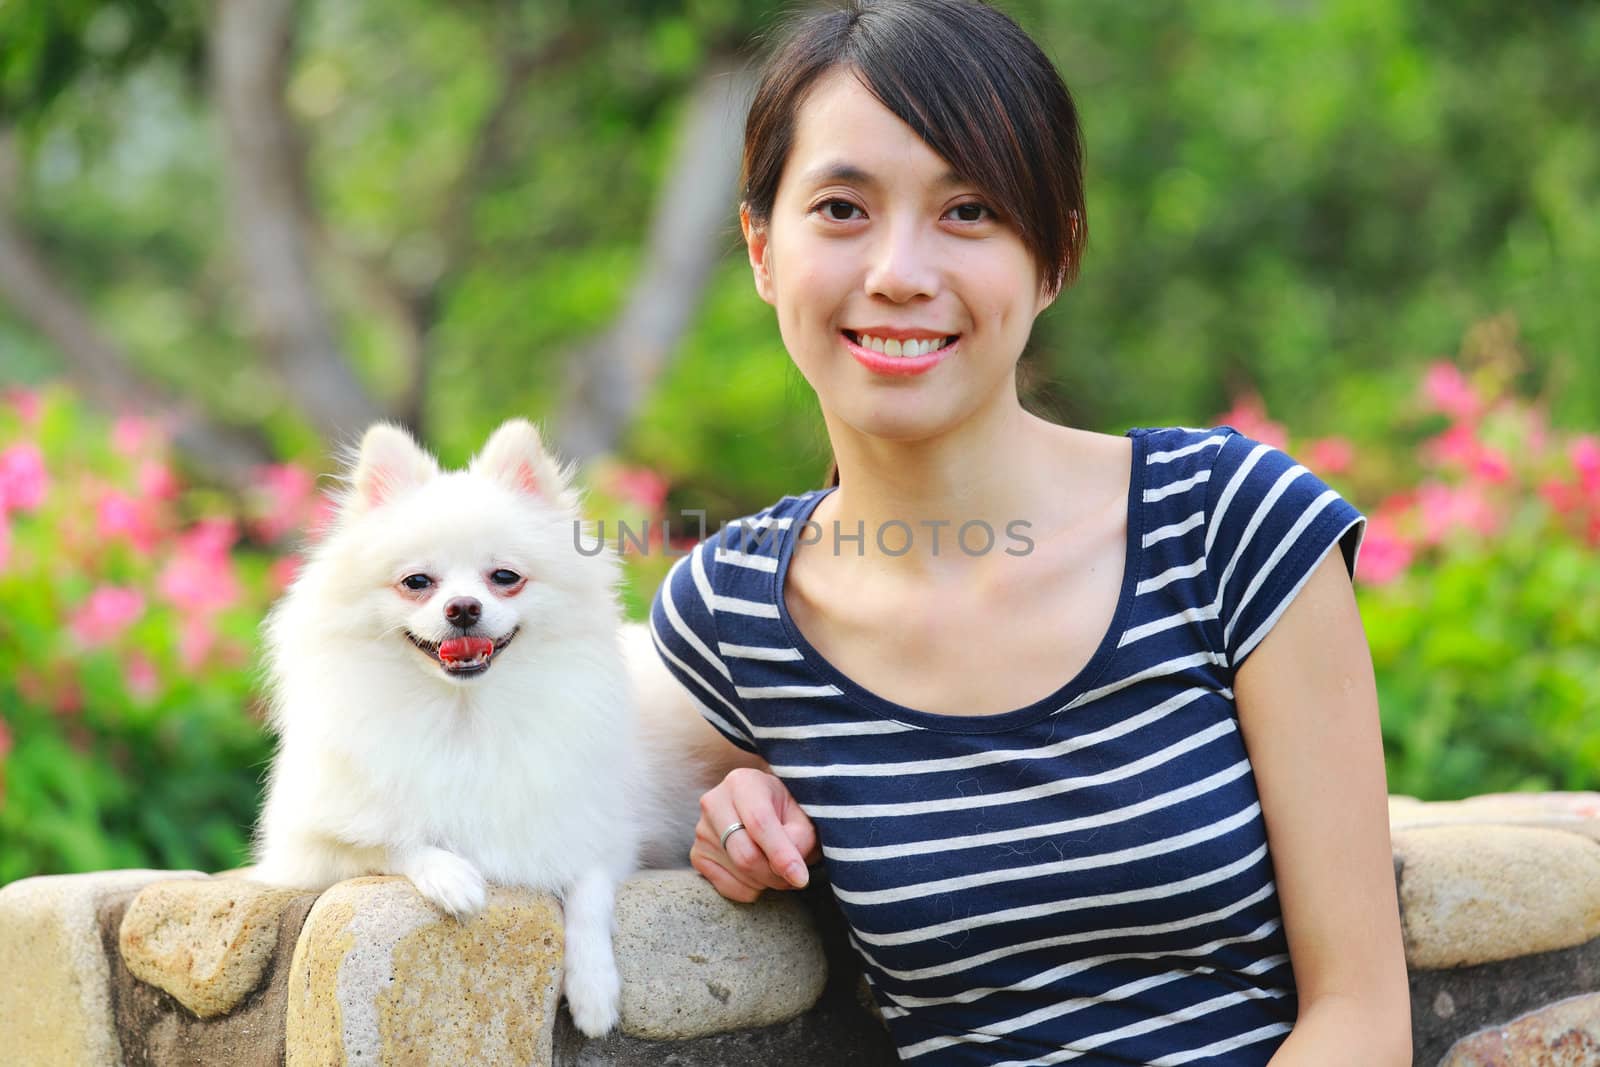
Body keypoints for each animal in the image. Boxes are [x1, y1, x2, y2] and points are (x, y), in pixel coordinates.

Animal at [252, 422, 716, 1036]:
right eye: (417, 581)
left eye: (505, 578)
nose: (464, 607)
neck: (465, 715)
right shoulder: (307, 850)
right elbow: (393, 842)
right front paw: (452, 875)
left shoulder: (603, 833)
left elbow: (589, 890)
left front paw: (594, 990)